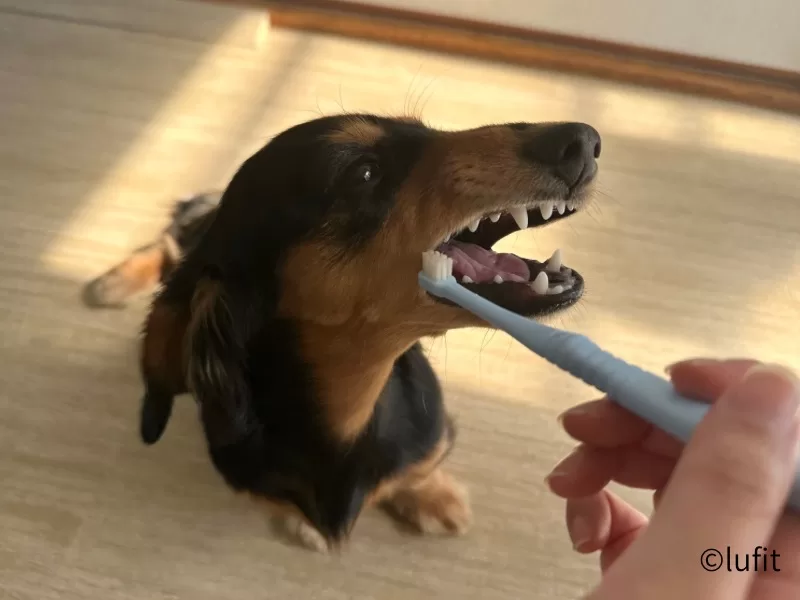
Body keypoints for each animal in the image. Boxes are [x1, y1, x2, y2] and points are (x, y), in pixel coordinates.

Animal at [83, 114, 600, 551]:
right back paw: (111, 283)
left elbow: (419, 470)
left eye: (425, 128)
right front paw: (305, 526)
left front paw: (436, 497)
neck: (351, 411)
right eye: (363, 173)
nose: (585, 141)